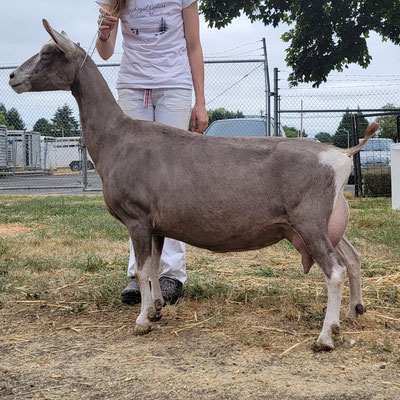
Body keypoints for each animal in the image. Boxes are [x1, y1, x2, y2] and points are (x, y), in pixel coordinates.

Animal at [9, 19, 378, 350]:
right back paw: (353, 312)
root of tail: (341, 153)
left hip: (309, 221)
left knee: (334, 271)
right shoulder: (156, 225)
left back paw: (326, 336)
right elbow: (153, 267)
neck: (118, 138)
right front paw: (156, 309)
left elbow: (141, 269)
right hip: (326, 222)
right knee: (353, 257)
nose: (12, 77)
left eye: (48, 53)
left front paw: (141, 321)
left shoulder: (137, 217)